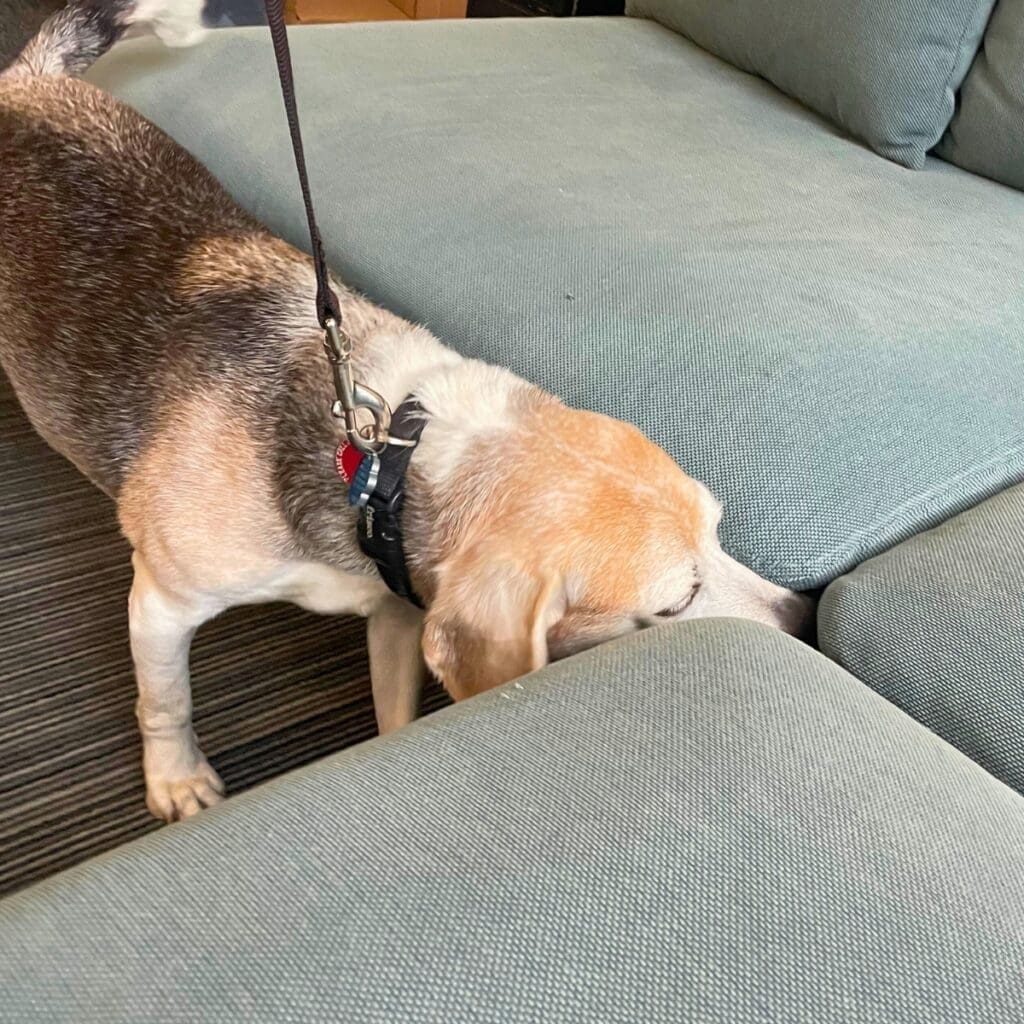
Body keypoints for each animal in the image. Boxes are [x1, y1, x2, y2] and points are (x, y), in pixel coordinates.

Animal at [4, 0, 811, 815]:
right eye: (678, 602)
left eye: (719, 531)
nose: (805, 619)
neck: (387, 455)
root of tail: (26, 83)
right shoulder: (164, 599)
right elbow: (166, 699)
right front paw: (177, 779)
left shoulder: (397, 608)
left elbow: (395, 711)